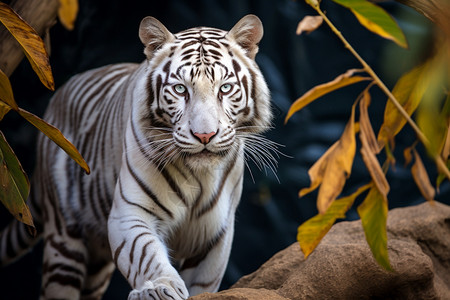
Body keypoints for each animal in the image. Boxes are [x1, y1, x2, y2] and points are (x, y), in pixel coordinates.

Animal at [0, 14, 274, 300]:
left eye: (226, 88)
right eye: (180, 89)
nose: (205, 135)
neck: (201, 176)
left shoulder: (215, 235)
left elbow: (203, 284)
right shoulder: (130, 213)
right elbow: (146, 255)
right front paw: (160, 288)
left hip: (96, 265)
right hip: (64, 240)